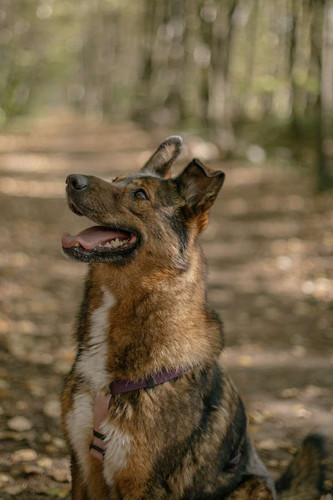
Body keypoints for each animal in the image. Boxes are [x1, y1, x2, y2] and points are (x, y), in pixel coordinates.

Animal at [60, 137, 324, 500]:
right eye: (116, 180)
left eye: (139, 195)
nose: (71, 180)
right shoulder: (83, 467)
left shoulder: (144, 484)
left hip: (251, 486)